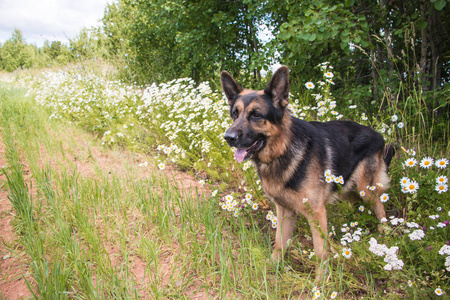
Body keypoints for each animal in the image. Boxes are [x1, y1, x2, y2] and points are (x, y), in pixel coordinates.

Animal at [221, 66, 394, 276]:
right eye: (235, 114)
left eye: (256, 115)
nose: (228, 137)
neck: (282, 149)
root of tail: (378, 134)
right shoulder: (284, 211)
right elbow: (279, 243)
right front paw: (271, 267)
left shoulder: (316, 213)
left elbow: (320, 251)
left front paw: (321, 281)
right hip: (347, 189)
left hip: (365, 189)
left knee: (379, 206)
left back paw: (385, 232)